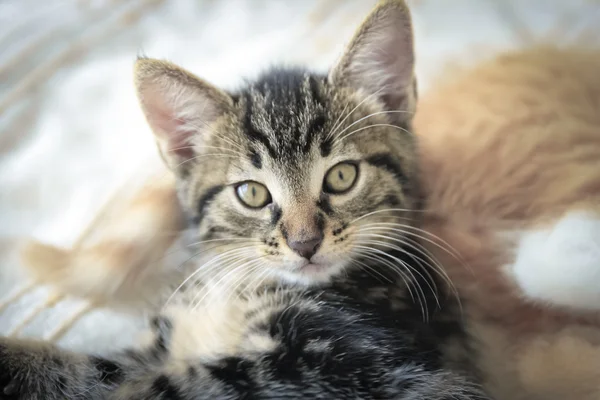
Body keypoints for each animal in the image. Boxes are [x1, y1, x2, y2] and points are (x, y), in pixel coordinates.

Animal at [0, 1, 488, 398]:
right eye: (252, 193)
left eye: (342, 176)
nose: (305, 243)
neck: (241, 286)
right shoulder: (155, 346)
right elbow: (98, 368)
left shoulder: (350, 366)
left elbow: (165, 386)